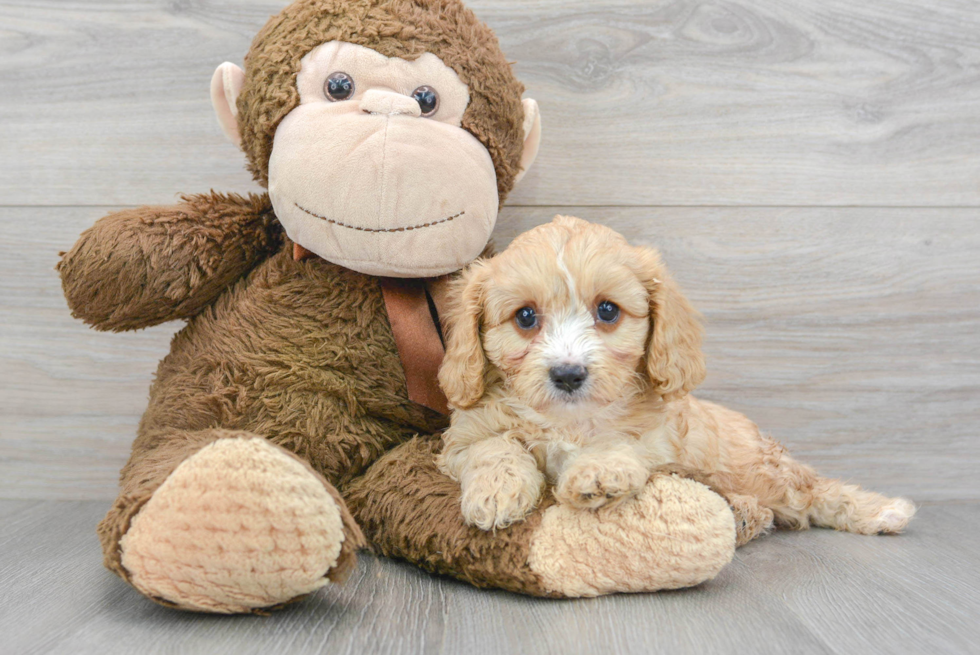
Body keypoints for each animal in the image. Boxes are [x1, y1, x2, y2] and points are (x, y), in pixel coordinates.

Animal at [436, 217, 912, 544]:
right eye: (525, 317)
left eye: (607, 310)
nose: (568, 375)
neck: (569, 420)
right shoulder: (463, 436)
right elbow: (493, 446)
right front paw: (497, 491)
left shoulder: (656, 439)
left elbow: (620, 443)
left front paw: (597, 473)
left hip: (762, 471)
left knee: (815, 492)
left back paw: (884, 511)